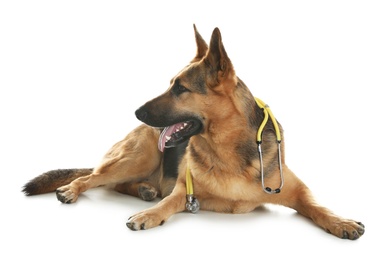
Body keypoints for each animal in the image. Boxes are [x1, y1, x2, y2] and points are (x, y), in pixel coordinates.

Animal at [22, 24, 366, 240]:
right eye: (171, 84)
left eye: (180, 88)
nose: (137, 112)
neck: (226, 150)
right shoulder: (183, 191)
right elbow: (168, 203)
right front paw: (149, 215)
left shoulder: (298, 192)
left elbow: (318, 206)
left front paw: (341, 221)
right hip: (138, 157)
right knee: (92, 178)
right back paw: (74, 190)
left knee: (117, 184)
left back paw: (145, 190)